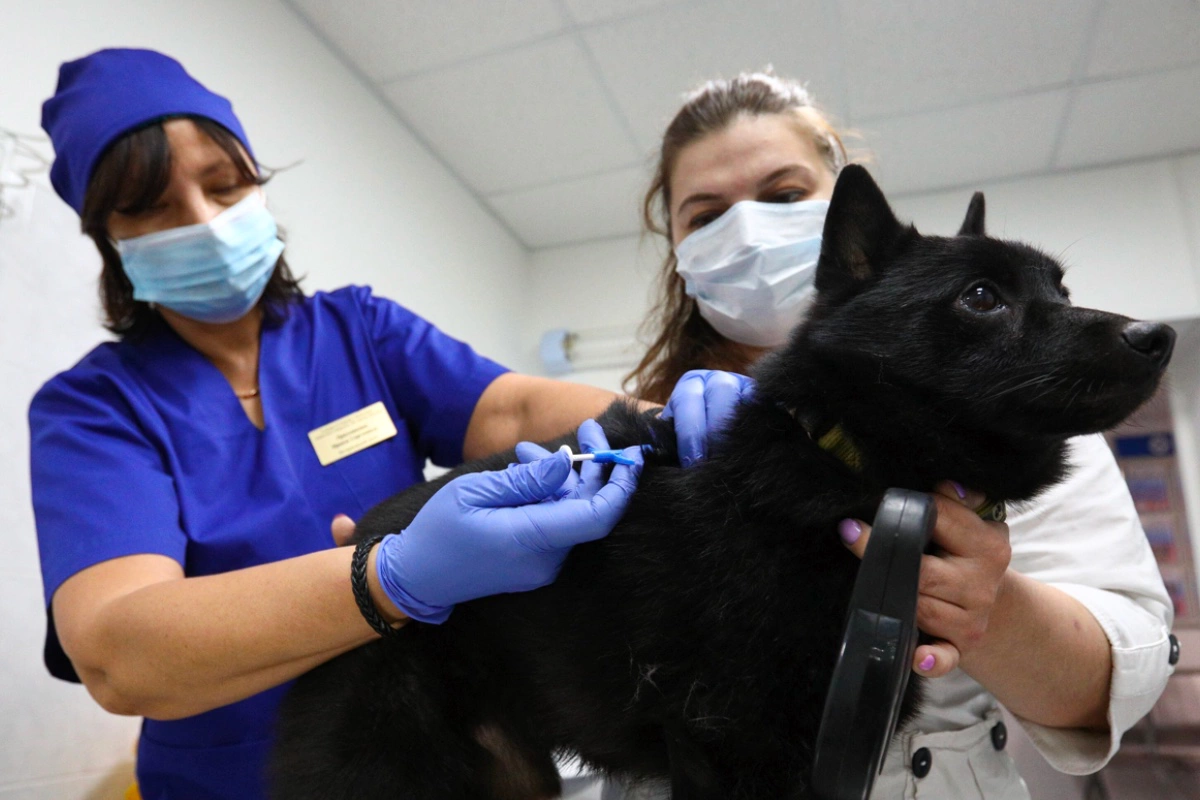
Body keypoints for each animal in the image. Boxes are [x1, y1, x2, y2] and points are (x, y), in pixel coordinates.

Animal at [270, 165, 1171, 796]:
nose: (1159, 335)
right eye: (983, 297)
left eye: (1061, 287)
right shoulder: (733, 746)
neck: (849, 460)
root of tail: (363, 558)